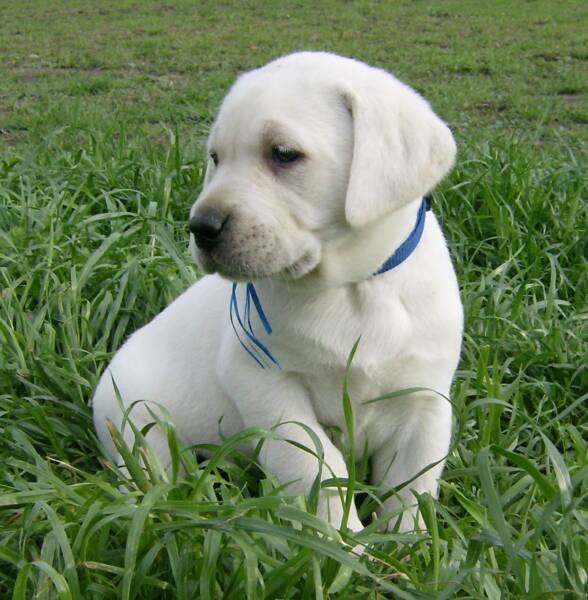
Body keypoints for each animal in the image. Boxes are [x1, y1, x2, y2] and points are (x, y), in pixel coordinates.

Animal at [92, 51, 462, 528]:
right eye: (216, 157)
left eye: (284, 154)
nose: (201, 227)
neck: (353, 287)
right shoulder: (266, 384)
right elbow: (316, 469)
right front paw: (344, 540)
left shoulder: (424, 403)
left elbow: (412, 490)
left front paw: (407, 543)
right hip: (135, 424)